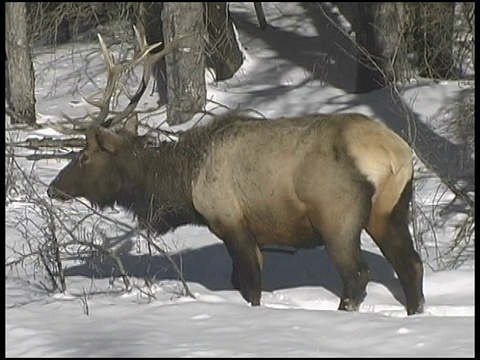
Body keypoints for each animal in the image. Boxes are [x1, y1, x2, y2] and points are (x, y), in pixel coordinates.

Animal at [47, 27, 426, 316]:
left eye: (84, 157)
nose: (53, 188)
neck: (184, 185)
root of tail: (396, 154)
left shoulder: (230, 220)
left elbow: (251, 287)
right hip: (390, 210)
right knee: (412, 264)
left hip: (337, 215)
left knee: (357, 275)